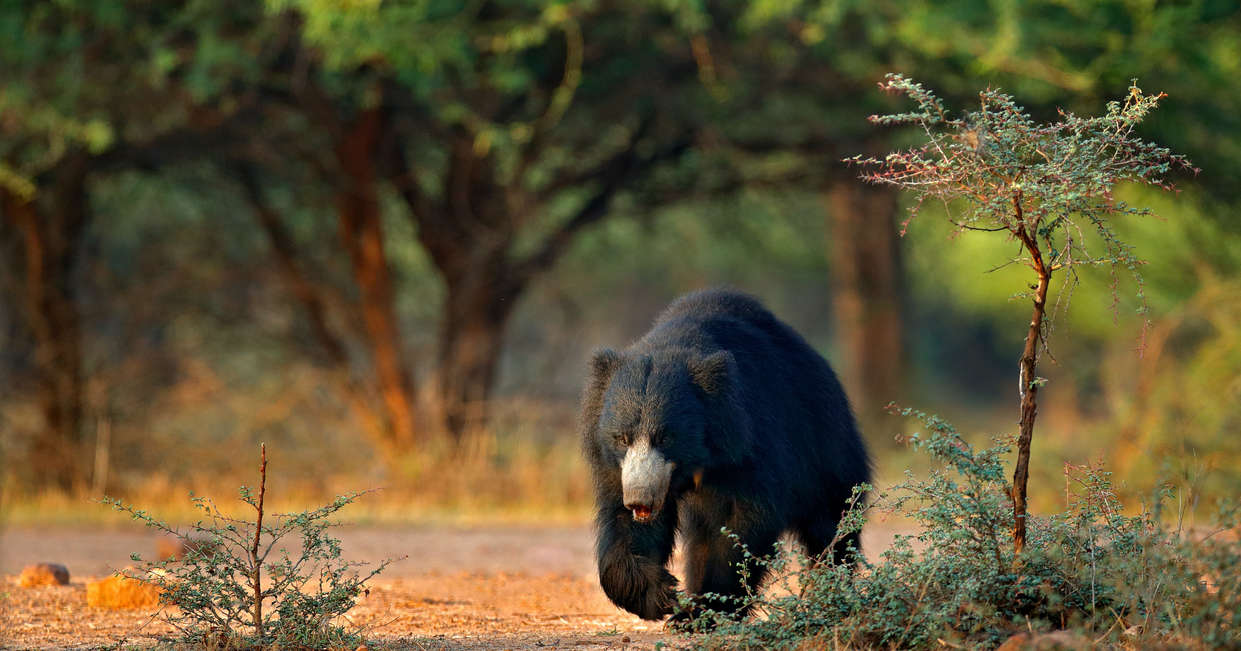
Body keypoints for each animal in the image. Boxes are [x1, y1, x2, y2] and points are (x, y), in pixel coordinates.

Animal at [580, 288, 871, 621]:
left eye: (665, 437)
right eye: (622, 438)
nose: (640, 498)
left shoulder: (749, 444)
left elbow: (739, 524)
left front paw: (702, 611)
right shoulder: (618, 467)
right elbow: (623, 522)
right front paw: (660, 595)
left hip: (825, 445)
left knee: (831, 521)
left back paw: (830, 594)